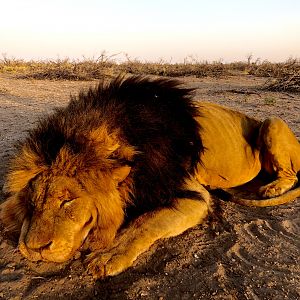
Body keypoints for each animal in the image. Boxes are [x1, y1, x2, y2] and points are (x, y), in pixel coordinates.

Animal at [0, 75, 300, 278]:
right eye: (33, 201)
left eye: (68, 201)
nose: (35, 248)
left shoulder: (192, 194)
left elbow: (145, 222)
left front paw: (107, 256)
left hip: (271, 121)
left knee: (290, 174)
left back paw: (272, 189)